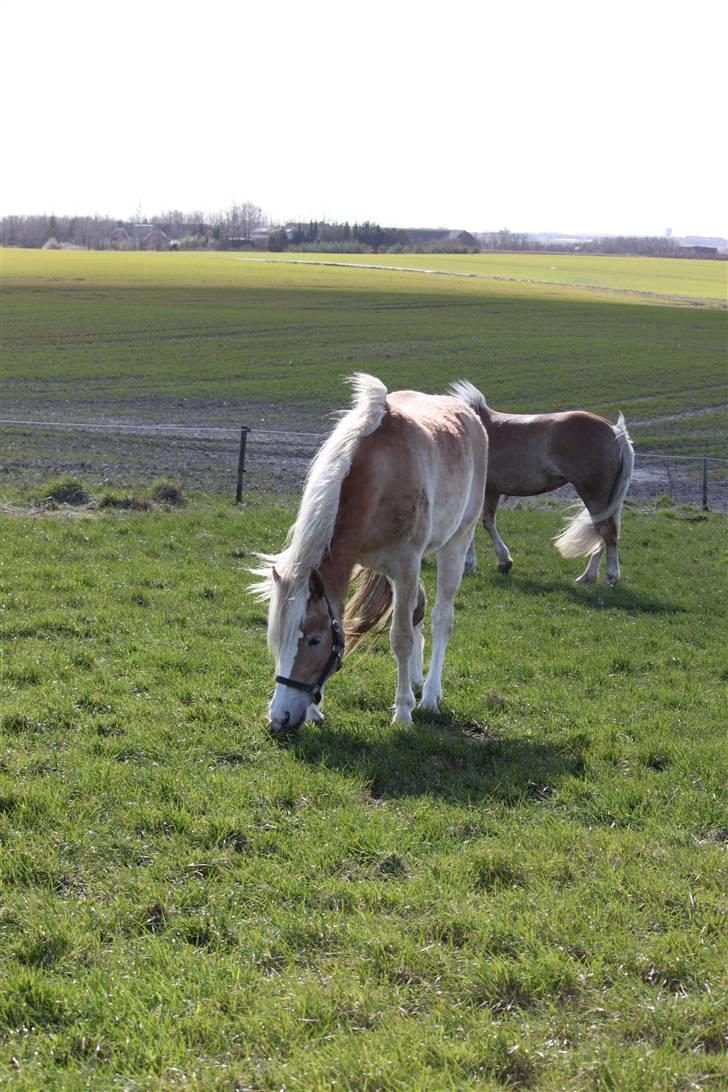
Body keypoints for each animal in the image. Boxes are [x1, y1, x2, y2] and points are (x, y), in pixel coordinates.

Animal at [251, 373, 488, 733]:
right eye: (277, 638)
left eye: (315, 640)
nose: (279, 719)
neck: (377, 477)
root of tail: (468, 412)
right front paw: (314, 711)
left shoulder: (404, 569)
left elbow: (401, 638)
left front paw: (403, 712)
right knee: (418, 610)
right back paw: (417, 680)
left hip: (457, 543)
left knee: (440, 618)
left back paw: (430, 695)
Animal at [451, 384, 633, 589]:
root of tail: (615, 432)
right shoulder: (491, 491)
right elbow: (486, 523)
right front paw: (503, 562)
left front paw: (469, 565)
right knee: (602, 535)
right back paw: (588, 577)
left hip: (594, 496)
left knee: (606, 533)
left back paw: (609, 576)